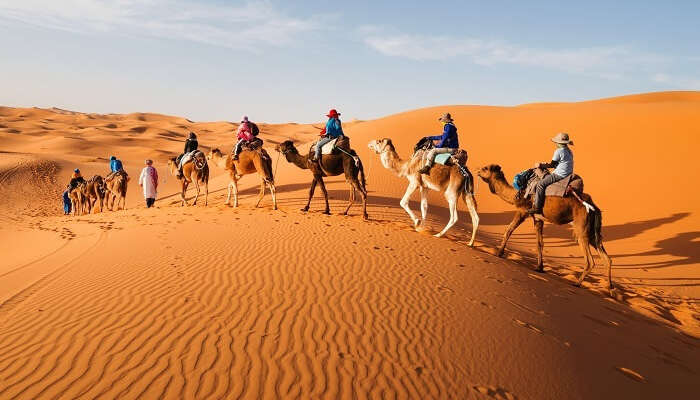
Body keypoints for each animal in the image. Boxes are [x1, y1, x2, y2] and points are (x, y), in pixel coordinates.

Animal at [476, 165, 612, 290]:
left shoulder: (522, 211)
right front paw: (539, 267)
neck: (517, 194)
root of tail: (594, 207)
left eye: (485, 168)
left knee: (590, 260)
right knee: (606, 257)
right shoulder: (538, 219)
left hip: (581, 228)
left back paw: (577, 283)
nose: (477, 170)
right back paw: (610, 288)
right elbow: (539, 243)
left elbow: (508, 230)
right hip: (592, 231)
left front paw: (499, 253)